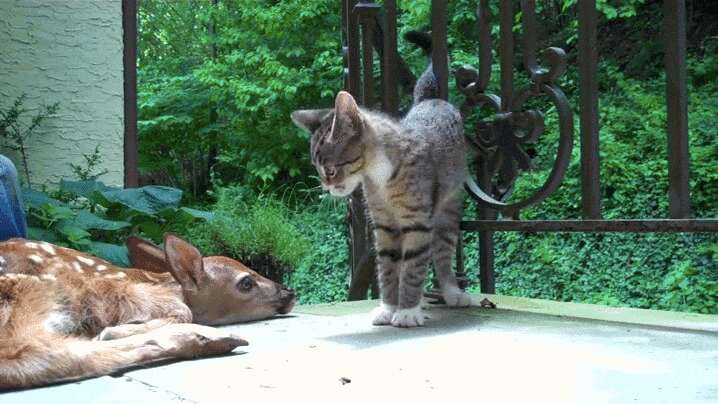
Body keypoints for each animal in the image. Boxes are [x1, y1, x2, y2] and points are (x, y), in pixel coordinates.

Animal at [292, 33, 472, 326]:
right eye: (318, 169)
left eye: (330, 169)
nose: (326, 188)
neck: (379, 175)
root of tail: (430, 101)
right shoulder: (385, 225)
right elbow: (388, 268)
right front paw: (389, 307)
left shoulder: (417, 222)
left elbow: (413, 267)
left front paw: (407, 311)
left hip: (448, 207)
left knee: (442, 253)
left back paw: (451, 292)